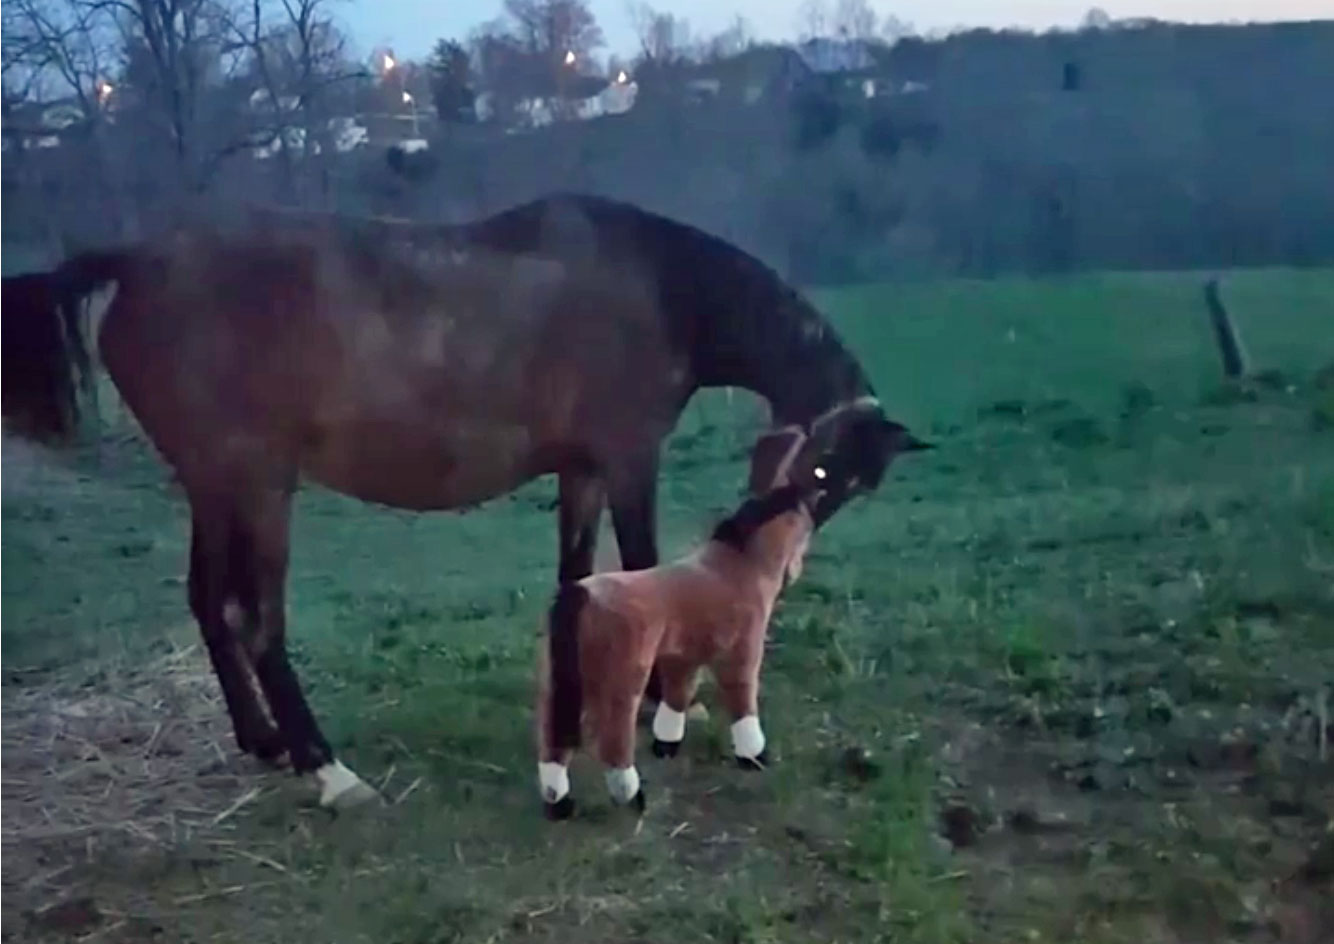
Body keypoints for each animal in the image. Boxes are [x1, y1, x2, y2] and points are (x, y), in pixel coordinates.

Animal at [536, 426, 821, 819]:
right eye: (805, 527)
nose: (797, 571)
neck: (739, 566)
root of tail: (578, 596)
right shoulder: (741, 650)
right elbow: (742, 700)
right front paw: (754, 756)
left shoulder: (683, 656)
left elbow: (678, 696)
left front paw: (666, 745)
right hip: (621, 679)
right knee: (613, 739)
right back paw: (632, 797)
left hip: (560, 678)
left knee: (553, 739)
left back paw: (560, 803)